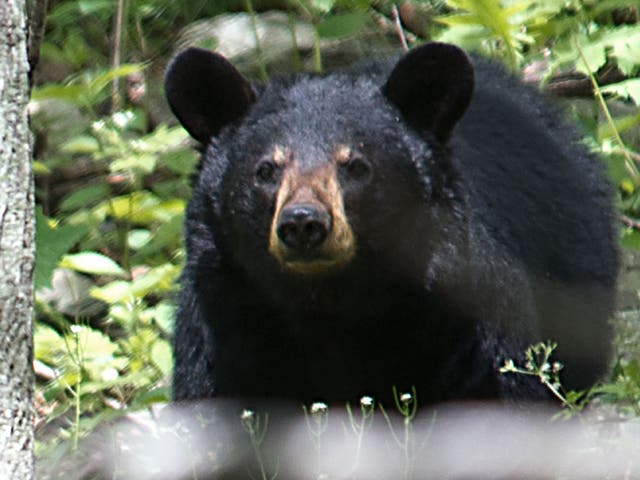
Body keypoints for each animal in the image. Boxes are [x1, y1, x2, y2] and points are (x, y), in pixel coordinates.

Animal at [164, 42, 618, 407]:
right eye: (265, 170)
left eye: (356, 165)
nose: (304, 223)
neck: (330, 306)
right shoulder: (224, 321)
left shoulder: (465, 314)